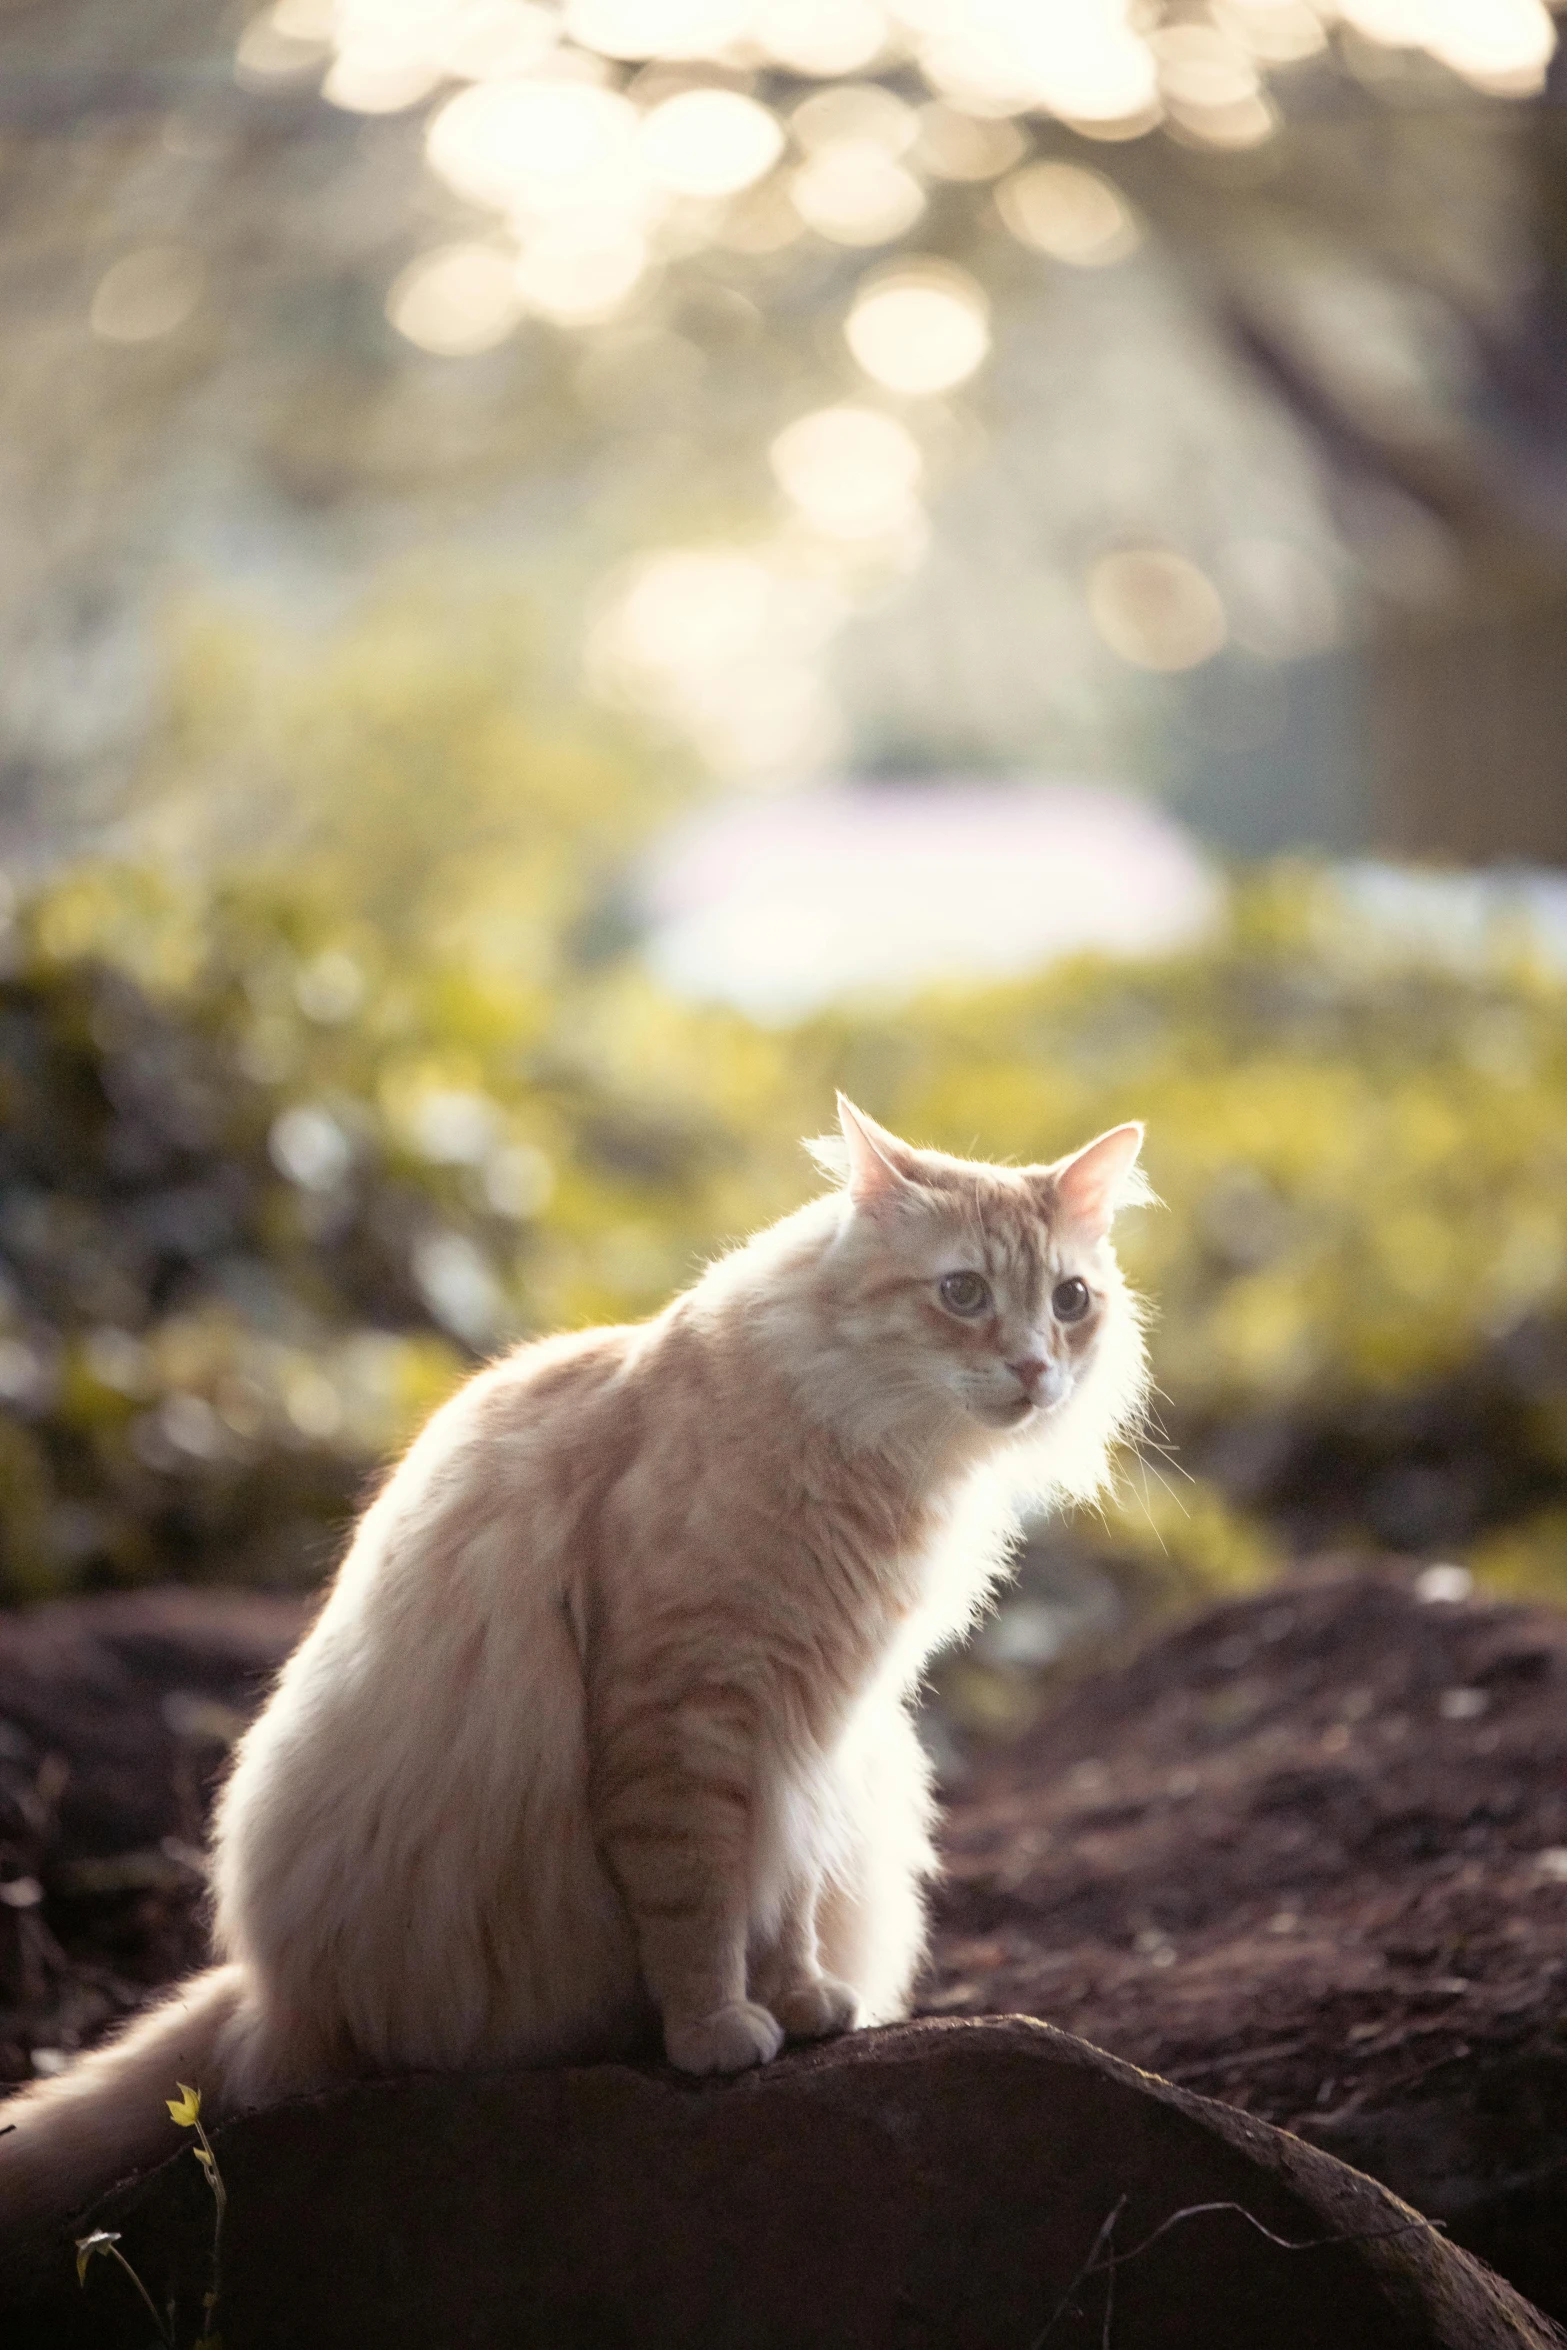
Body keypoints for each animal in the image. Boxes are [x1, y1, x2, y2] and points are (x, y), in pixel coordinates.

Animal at [0, 1099, 1151, 2237]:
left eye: (1069, 1301)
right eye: (962, 1293)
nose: (1035, 1368)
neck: (868, 1451)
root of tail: (265, 1992)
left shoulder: (809, 1735)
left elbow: (782, 1893)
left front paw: (801, 2000)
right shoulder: (683, 1711)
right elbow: (700, 1904)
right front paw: (715, 2030)